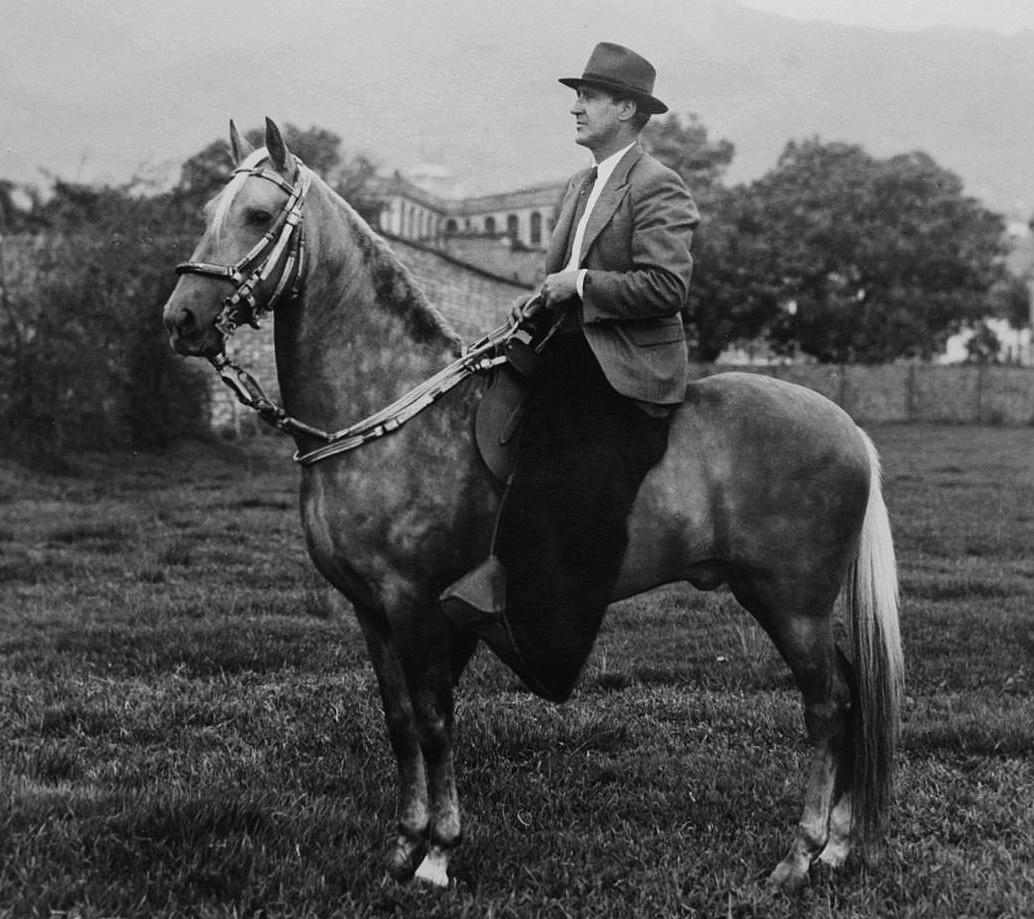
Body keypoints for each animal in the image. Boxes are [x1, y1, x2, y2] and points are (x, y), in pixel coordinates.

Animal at [163, 118, 904, 892]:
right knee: (851, 695)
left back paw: (799, 854)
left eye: (256, 214)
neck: (394, 406)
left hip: (790, 602)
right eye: (210, 210)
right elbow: (400, 721)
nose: (180, 318)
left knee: (829, 704)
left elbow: (434, 719)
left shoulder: (415, 601)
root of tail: (848, 427)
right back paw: (839, 845)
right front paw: (402, 844)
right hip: (799, 605)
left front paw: (437, 853)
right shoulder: (371, 608)